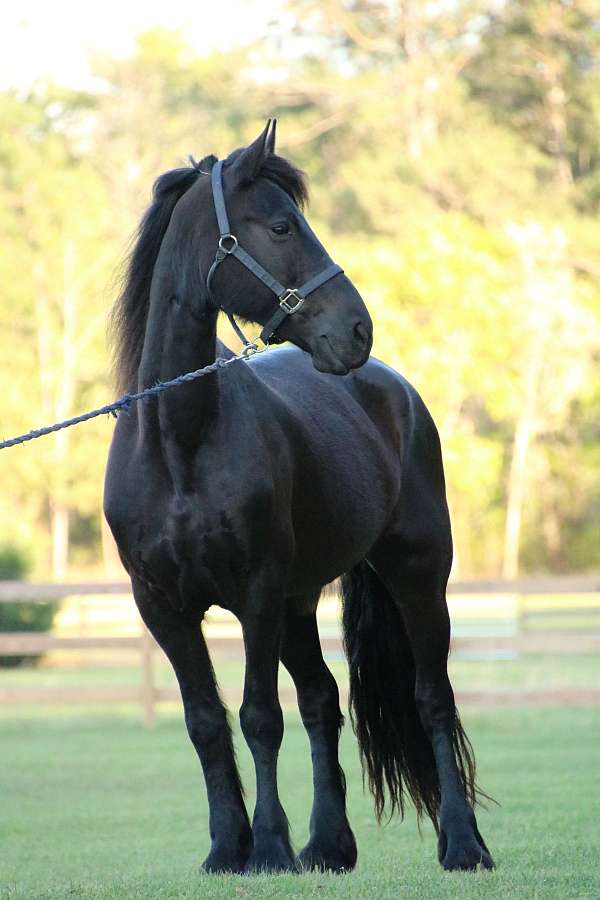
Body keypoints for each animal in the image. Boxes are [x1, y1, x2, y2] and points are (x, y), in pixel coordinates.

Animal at [104, 119, 492, 872]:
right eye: (282, 226)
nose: (358, 329)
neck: (179, 444)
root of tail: (392, 387)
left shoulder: (254, 592)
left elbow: (259, 716)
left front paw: (270, 848)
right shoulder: (164, 606)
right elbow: (205, 721)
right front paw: (228, 848)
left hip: (416, 578)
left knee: (431, 697)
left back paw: (463, 845)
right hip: (298, 601)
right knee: (321, 698)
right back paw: (328, 844)